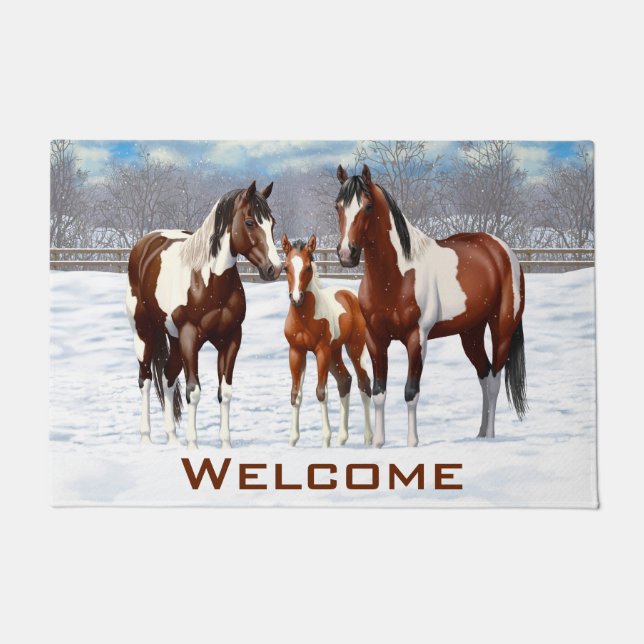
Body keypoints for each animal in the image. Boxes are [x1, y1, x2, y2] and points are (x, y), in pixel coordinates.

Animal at [126, 180, 282, 449]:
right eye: (250, 222)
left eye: (272, 223)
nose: (275, 268)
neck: (208, 281)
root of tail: (144, 244)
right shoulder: (190, 337)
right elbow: (193, 391)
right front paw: (193, 445)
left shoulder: (231, 338)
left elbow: (225, 392)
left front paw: (226, 444)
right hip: (143, 332)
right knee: (145, 380)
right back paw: (146, 438)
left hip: (173, 339)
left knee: (167, 377)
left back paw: (172, 438)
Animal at [282, 234, 373, 448]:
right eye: (286, 267)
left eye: (308, 267)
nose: (296, 297)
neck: (305, 318)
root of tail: (350, 295)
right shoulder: (296, 352)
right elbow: (295, 394)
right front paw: (292, 440)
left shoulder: (321, 351)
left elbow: (321, 392)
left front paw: (325, 440)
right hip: (335, 353)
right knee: (345, 380)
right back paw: (342, 438)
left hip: (354, 348)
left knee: (363, 382)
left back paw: (368, 439)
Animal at [334, 164, 527, 448]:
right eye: (337, 206)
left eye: (367, 207)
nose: (347, 254)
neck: (397, 275)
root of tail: (502, 250)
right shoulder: (375, 339)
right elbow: (379, 391)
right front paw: (378, 443)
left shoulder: (417, 339)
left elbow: (411, 392)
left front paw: (412, 443)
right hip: (470, 333)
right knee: (484, 375)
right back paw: (480, 433)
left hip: (501, 330)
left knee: (493, 381)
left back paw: (490, 435)